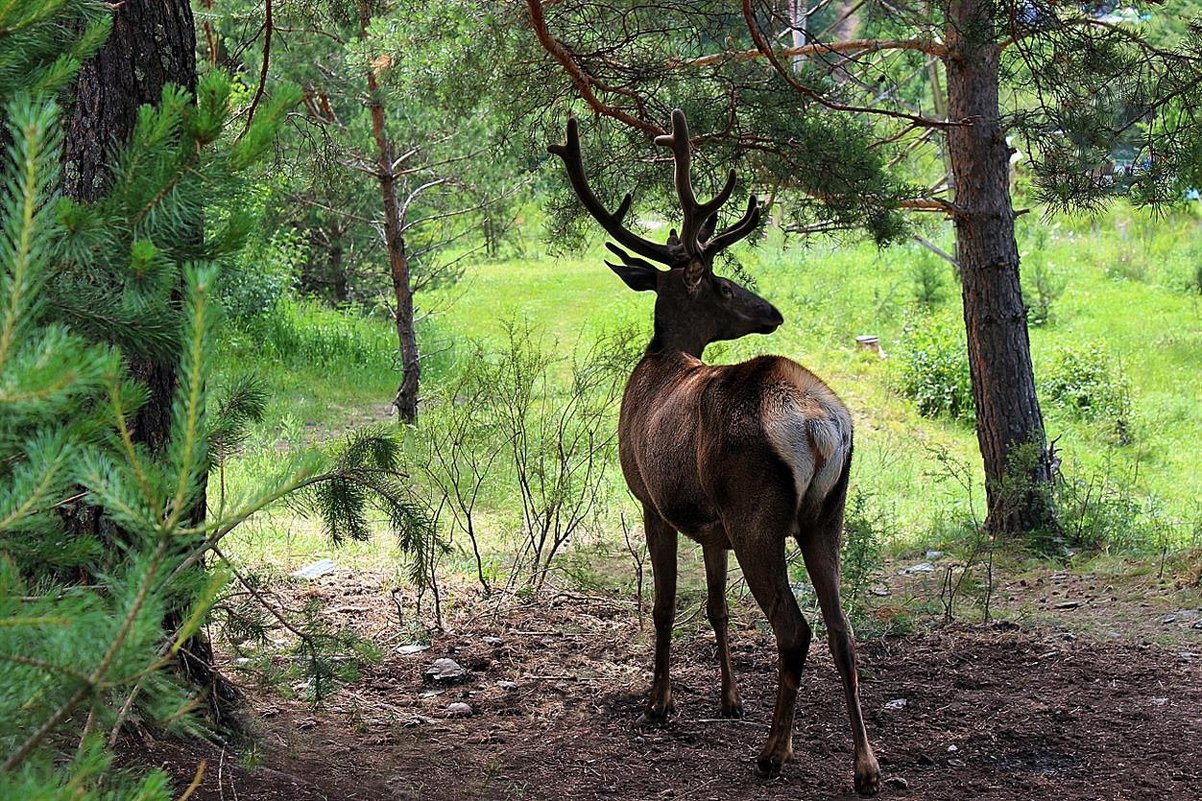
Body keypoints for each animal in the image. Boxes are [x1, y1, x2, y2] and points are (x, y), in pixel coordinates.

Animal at [550, 110, 879, 793]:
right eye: (727, 287)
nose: (772, 310)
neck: (660, 361)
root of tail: (820, 426)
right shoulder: (713, 528)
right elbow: (718, 609)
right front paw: (729, 699)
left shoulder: (653, 501)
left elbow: (666, 606)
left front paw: (658, 702)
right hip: (825, 515)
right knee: (844, 631)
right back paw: (866, 766)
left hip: (758, 514)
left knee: (797, 629)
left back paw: (775, 753)